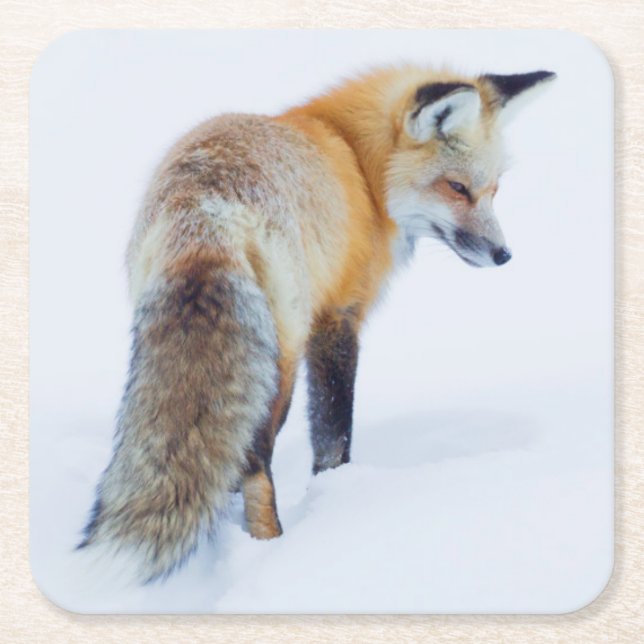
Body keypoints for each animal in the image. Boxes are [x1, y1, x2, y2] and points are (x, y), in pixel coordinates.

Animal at [79, 64, 555, 583]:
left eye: (493, 190)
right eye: (457, 188)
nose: (504, 255)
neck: (358, 164)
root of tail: (205, 210)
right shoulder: (337, 317)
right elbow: (333, 433)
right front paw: (335, 493)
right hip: (280, 360)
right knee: (254, 458)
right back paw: (268, 545)